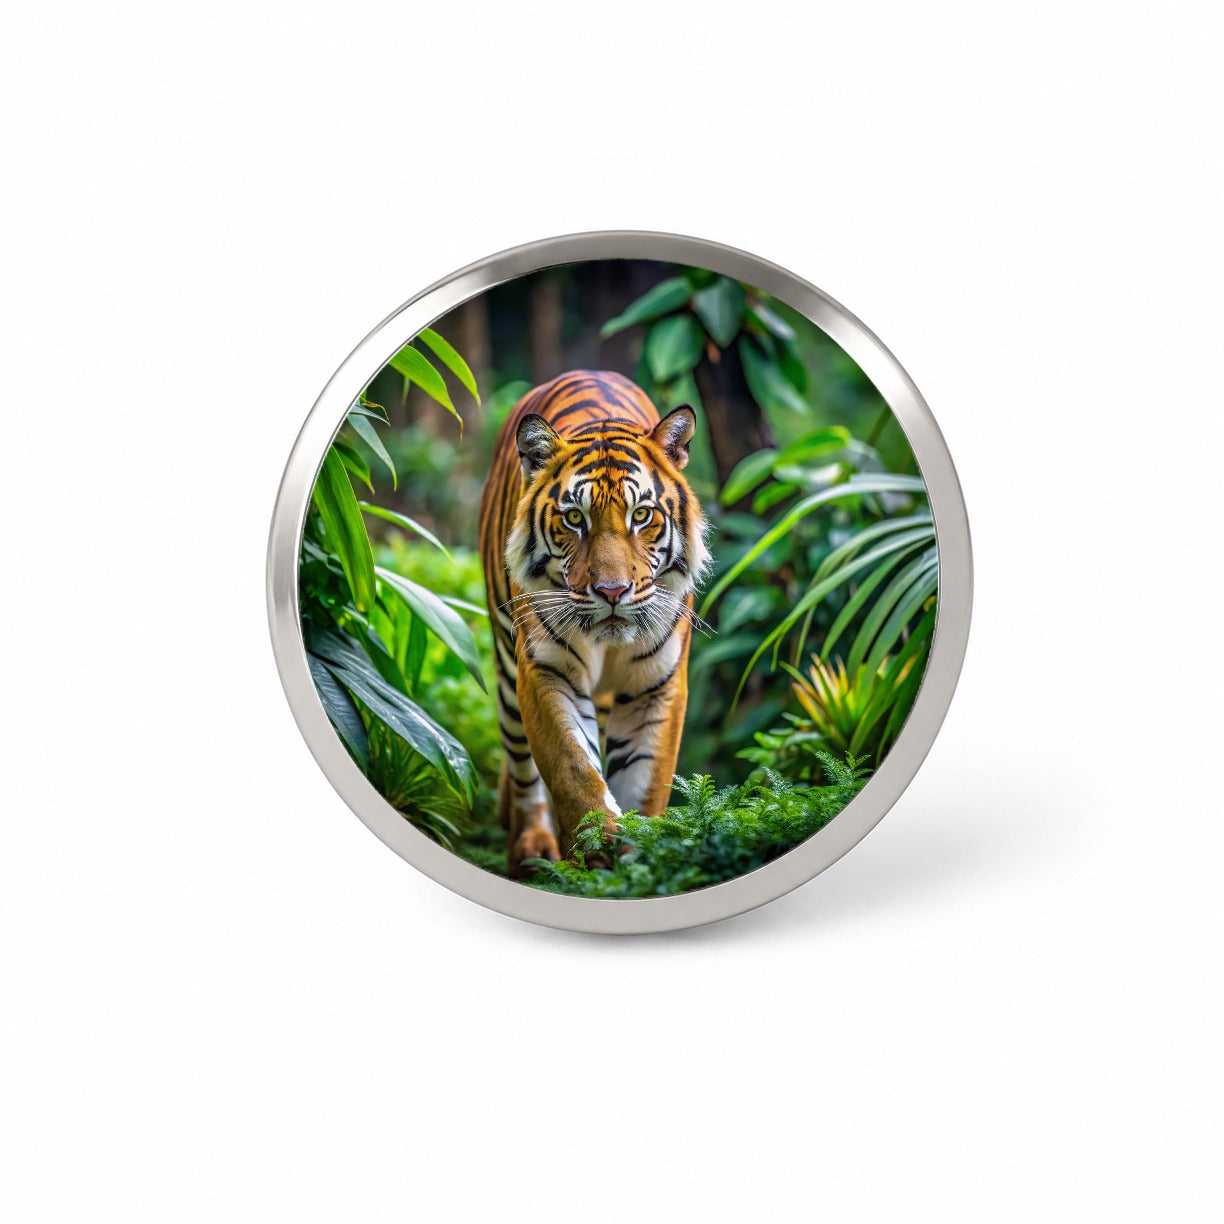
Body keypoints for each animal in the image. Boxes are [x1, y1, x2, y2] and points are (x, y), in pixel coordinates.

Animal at [478, 369, 710, 876]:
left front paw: (639, 861)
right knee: (523, 768)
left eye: (641, 515)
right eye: (573, 518)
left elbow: (645, 781)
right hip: (506, 673)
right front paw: (597, 850)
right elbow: (572, 766)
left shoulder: (655, 686)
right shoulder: (546, 671)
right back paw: (532, 847)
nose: (612, 591)